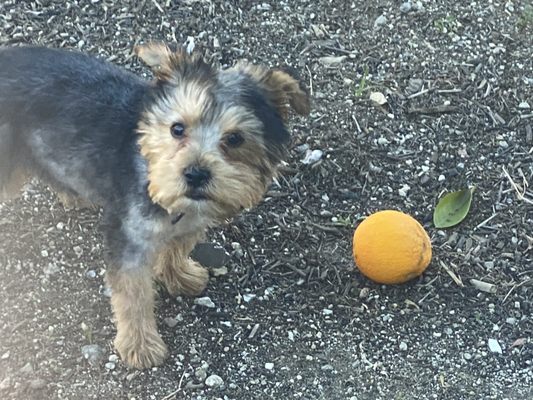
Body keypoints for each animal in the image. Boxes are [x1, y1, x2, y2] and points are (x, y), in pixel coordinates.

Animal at [0, 42, 310, 368]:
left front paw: (179, 275)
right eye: (177, 128)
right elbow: (133, 294)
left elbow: (178, 246)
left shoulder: (191, 220)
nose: (195, 173)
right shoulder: (130, 241)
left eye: (235, 138)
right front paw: (140, 345)